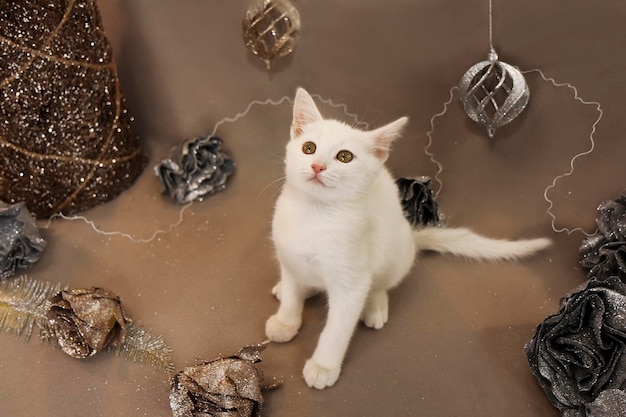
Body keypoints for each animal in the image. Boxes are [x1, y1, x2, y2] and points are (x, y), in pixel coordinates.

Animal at [266, 88, 548, 390]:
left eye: (344, 156)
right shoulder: (289, 257)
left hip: (395, 252)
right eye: (309, 148)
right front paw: (286, 321)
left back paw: (374, 306)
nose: (317, 166)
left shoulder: (351, 283)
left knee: (380, 284)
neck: (314, 215)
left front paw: (323, 366)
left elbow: (337, 328)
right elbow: (292, 294)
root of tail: (411, 233)